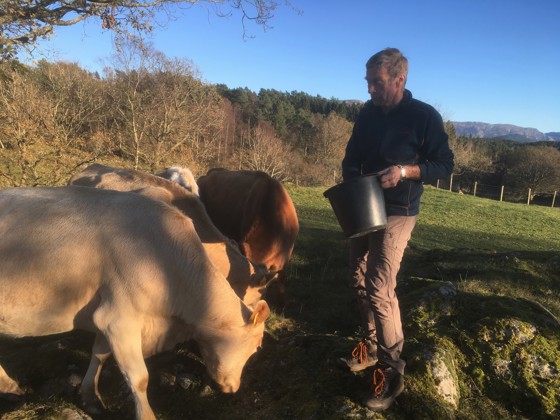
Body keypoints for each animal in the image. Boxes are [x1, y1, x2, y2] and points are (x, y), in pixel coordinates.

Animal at [0, 187, 270, 420]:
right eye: (257, 347)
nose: (233, 388)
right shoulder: (119, 320)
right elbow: (139, 378)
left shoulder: (107, 315)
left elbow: (99, 355)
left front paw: (91, 397)